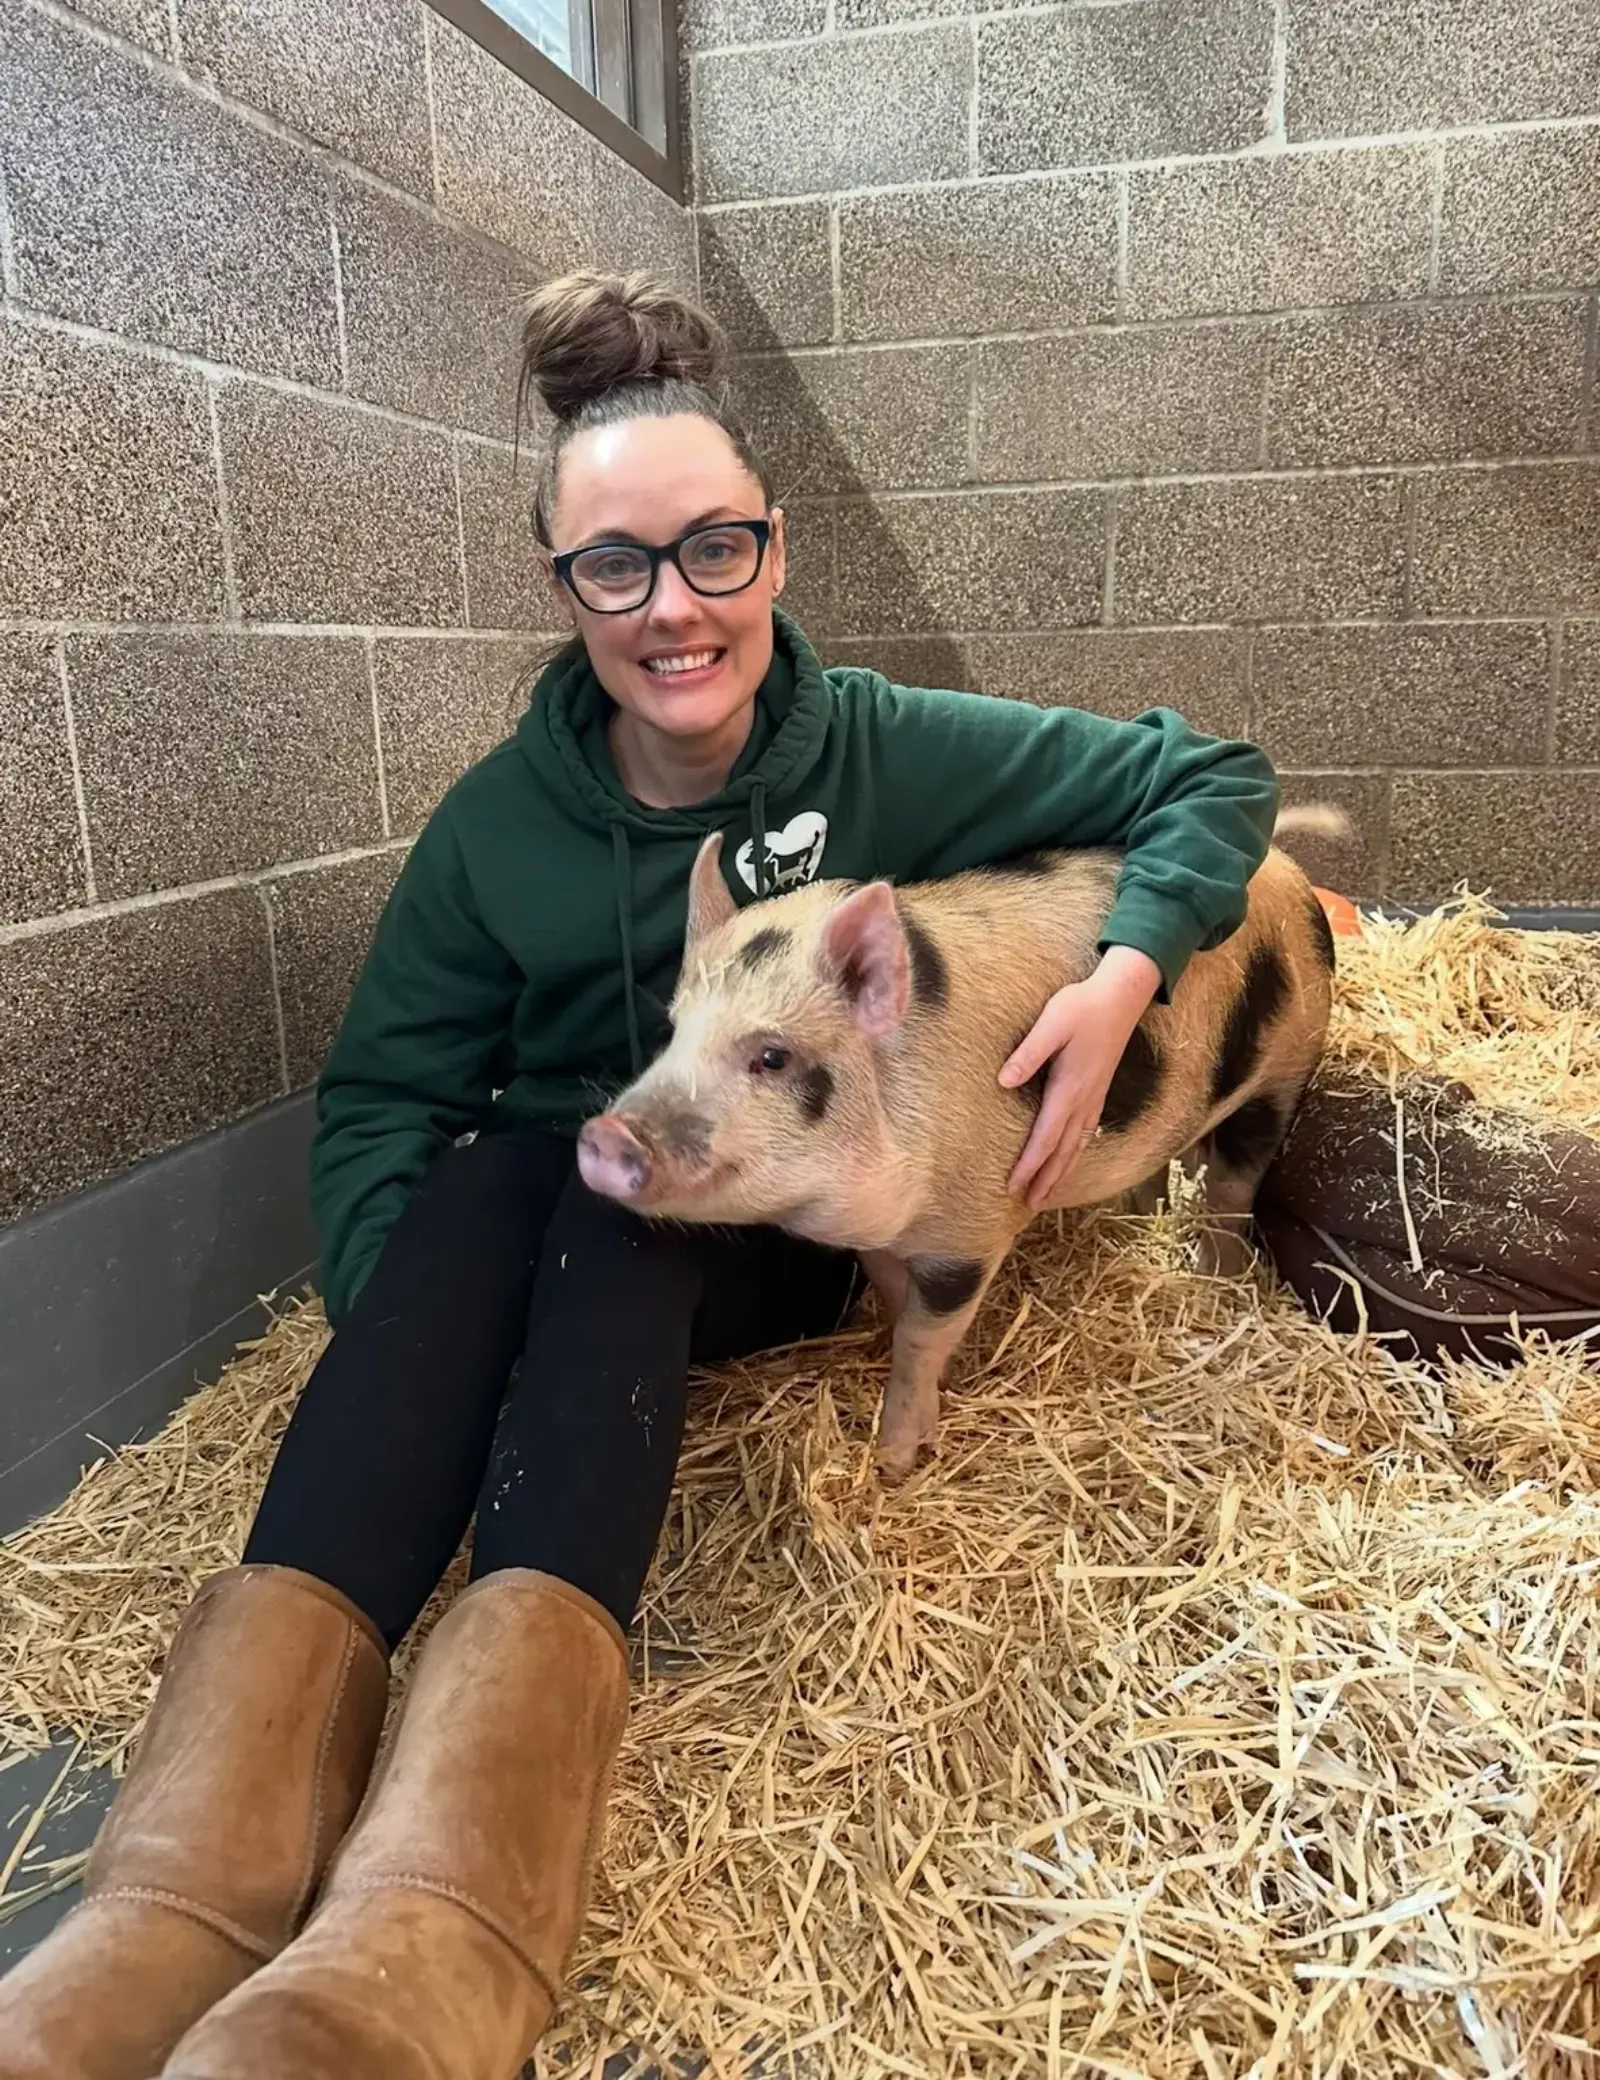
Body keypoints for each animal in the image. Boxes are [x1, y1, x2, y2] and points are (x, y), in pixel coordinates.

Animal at [577, 820, 1339, 1483]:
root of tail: (1291, 873)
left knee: (1233, 1188)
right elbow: (896, 1302)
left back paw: (1216, 1285)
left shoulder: (970, 1234)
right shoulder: (884, 1237)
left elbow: (922, 1333)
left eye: (772, 1056)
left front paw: (893, 1463)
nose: (602, 1136)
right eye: (672, 1031)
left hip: (1284, 1071)